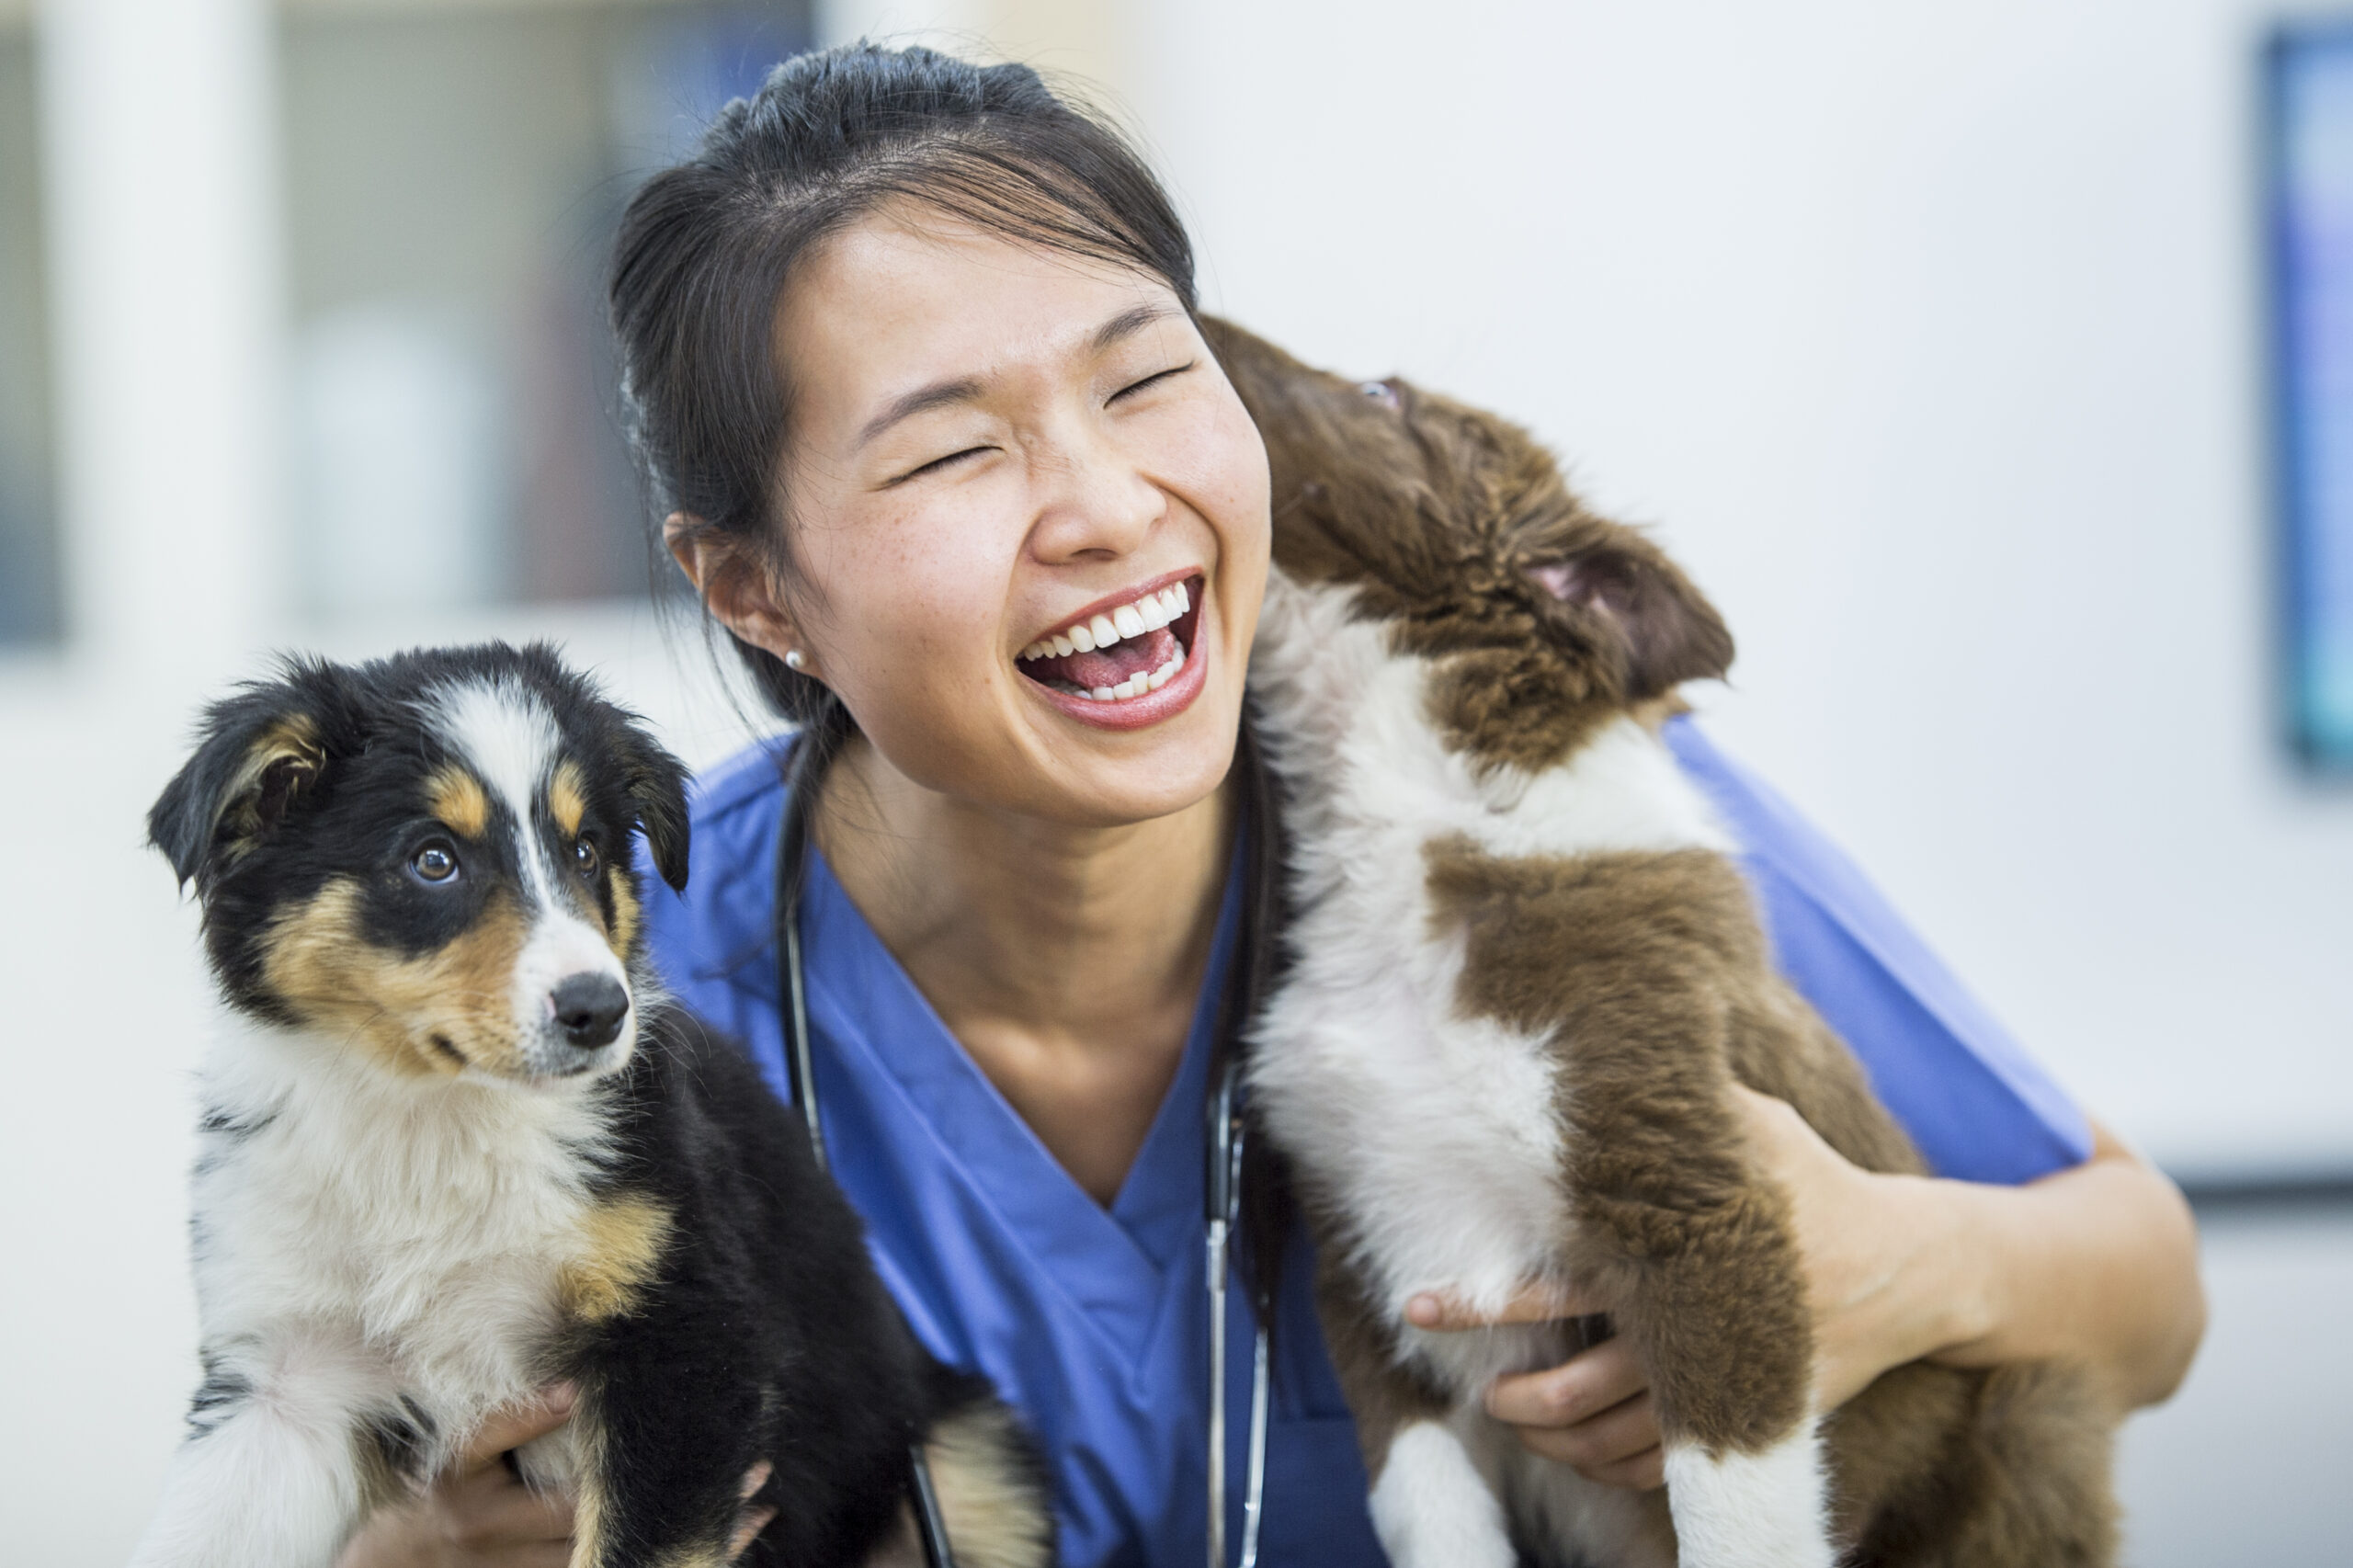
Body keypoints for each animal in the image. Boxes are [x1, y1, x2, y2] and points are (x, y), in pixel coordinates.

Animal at [131, 640, 1049, 1553]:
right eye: (433, 859)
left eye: (585, 852)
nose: (601, 1012)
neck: (437, 1119)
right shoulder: (285, 1381)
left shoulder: (682, 1331)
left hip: (964, 1465)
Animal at [1204, 320, 2127, 1562]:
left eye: (1381, 393)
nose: (1195, 315)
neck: (1427, 818)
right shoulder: (1362, 1261)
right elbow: (1427, 1505)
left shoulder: (1699, 1218)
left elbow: (1733, 1519)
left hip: (2038, 1405)